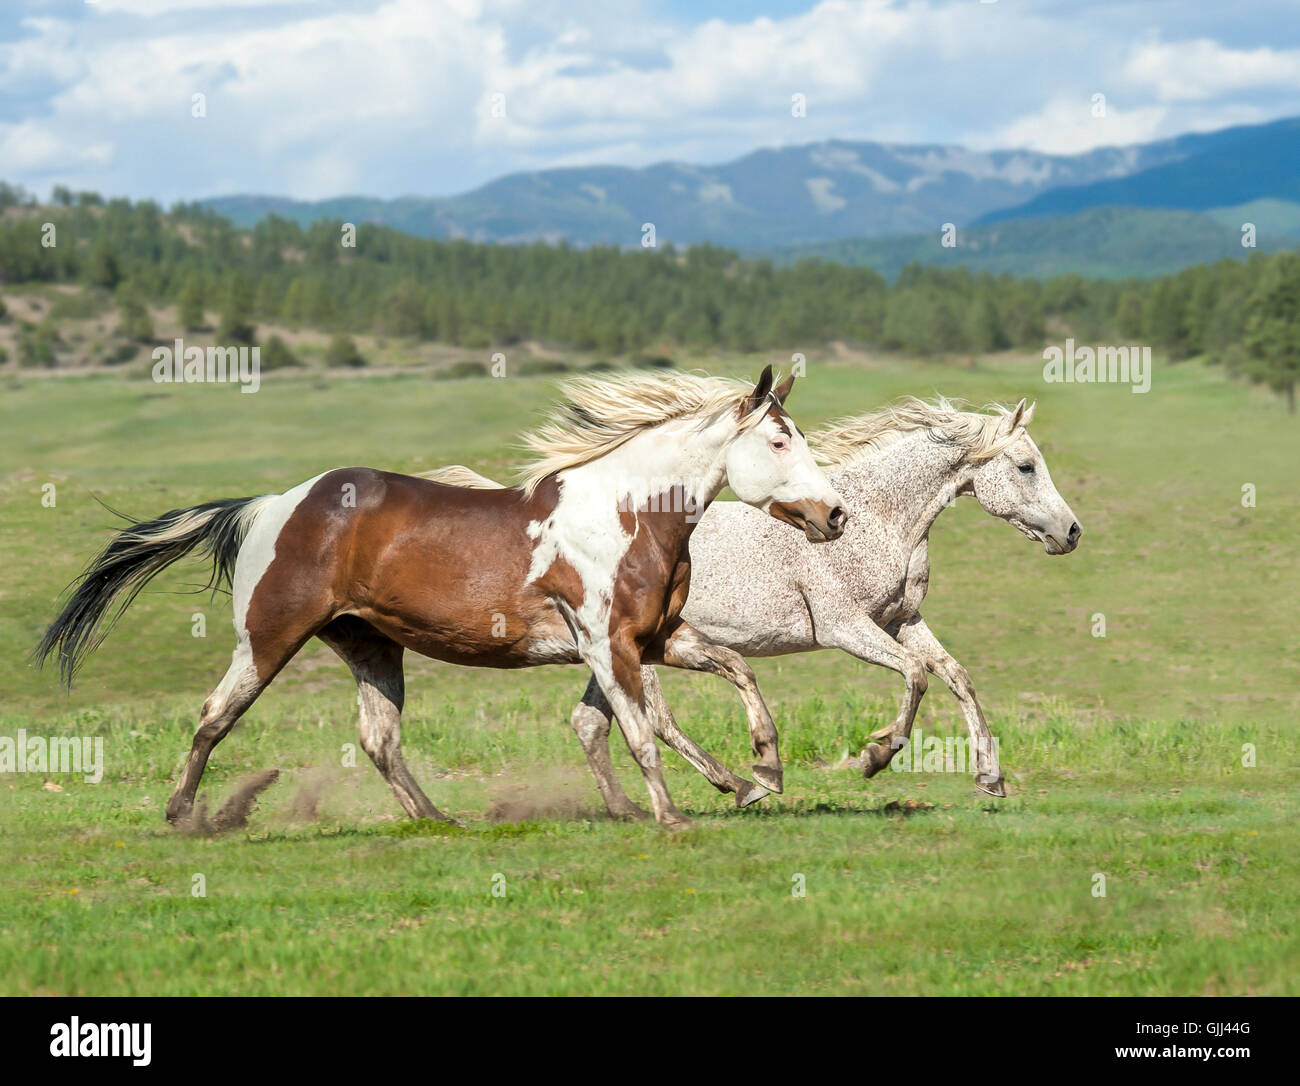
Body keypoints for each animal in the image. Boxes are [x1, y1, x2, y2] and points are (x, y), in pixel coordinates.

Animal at [35, 369, 847, 827]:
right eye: (779, 442)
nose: (835, 514)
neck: (626, 513)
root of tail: (270, 504)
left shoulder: (658, 638)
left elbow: (739, 674)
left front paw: (761, 775)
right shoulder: (606, 643)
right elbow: (642, 730)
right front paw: (675, 817)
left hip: (369, 644)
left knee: (379, 740)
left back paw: (437, 819)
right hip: (268, 639)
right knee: (215, 716)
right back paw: (182, 813)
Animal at [426, 397, 1076, 816]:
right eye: (1025, 466)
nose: (1072, 533)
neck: (878, 517)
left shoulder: (901, 620)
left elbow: (956, 677)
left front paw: (990, 779)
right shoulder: (844, 627)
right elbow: (916, 676)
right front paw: (873, 757)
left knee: (591, 723)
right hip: (627, 651)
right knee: (654, 720)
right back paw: (747, 785)